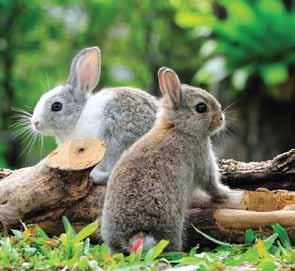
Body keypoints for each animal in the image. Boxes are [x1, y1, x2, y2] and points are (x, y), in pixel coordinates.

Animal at [102, 67, 231, 254]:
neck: (178, 128)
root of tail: (134, 235)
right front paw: (225, 193)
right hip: (172, 224)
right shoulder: (201, 159)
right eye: (201, 107)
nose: (221, 118)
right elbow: (210, 183)